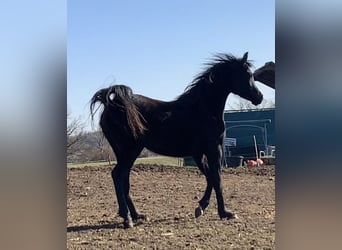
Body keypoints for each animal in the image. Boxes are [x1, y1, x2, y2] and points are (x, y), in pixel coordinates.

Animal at [89, 52, 264, 229]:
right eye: (248, 74)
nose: (259, 97)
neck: (202, 110)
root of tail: (112, 105)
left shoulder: (198, 154)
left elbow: (210, 177)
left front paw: (201, 207)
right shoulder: (213, 150)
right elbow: (217, 179)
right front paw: (225, 213)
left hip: (126, 152)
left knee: (124, 178)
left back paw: (137, 215)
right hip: (129, 150)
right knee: (118, 175)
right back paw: (127, 219)